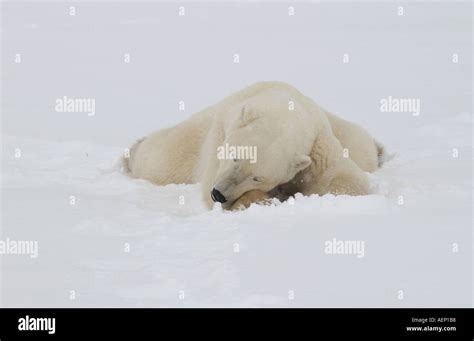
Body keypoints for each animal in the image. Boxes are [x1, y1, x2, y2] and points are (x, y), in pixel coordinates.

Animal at [124, 81, 384, 210]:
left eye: (257, 177)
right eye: (235, 155)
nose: (219, 194)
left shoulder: (318, 143)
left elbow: (345, 177)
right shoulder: (220, 131)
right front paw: (257, 201)